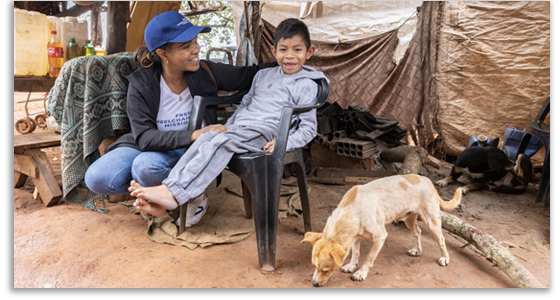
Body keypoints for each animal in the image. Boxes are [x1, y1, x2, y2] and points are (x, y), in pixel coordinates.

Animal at [300, 175, 462, 288]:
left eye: (325, 270)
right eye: (314, 266)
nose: (314, 284)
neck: (352, 209)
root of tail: (428, 180)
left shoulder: (380, 237)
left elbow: (369, 258)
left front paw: (360, 273)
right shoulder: (355, 237)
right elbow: (356, 253)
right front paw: (352, 266)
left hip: (432, 221)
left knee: (441, 239)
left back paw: (444, 258)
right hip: (408, 220)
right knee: (418, 232)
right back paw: (417, 250)